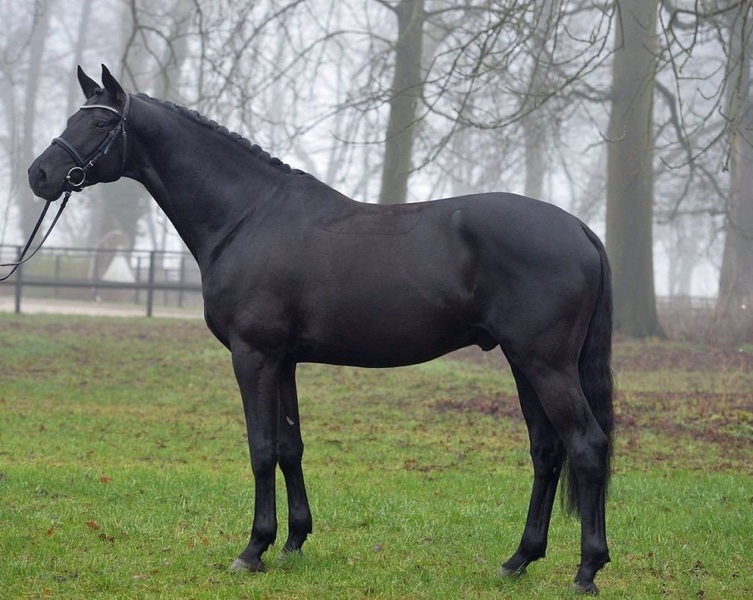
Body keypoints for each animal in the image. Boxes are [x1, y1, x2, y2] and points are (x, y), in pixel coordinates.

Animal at [28, 66, 614, 594]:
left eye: (100, 123)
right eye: (74, 117)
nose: (39, 175)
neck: (247, 216)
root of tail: (580, 229)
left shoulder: (253, 355)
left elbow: (261, 448)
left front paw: (253, 550)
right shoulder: (284, 359)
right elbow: (291, 447)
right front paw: (292, 542)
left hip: (545, 364)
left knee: (586, 446)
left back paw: (587, 570)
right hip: (522, 363)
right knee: (547, 451)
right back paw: (519, 559)